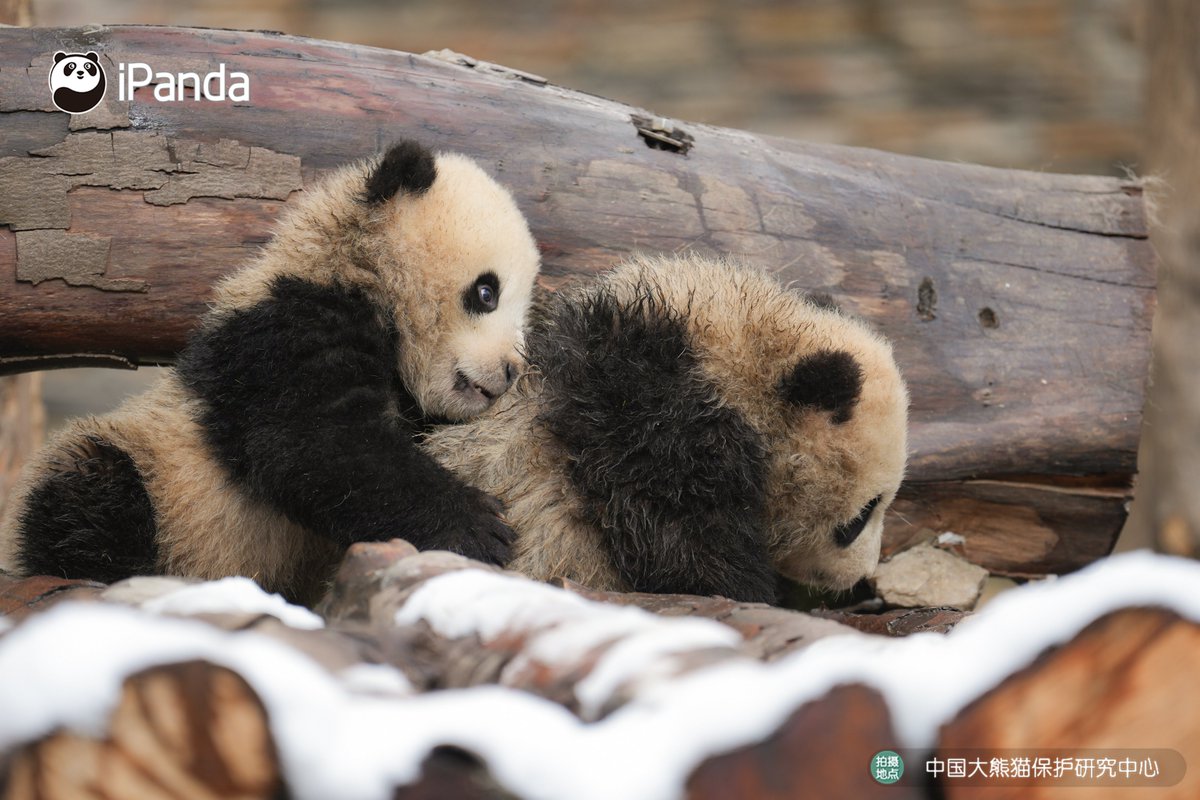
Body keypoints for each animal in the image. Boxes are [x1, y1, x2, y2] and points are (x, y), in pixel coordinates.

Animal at [0, 140, 540, 605]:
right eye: (487, 292)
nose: (511, 370)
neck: (353, 270)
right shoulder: (280, 334)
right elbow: (317, 442)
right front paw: (480, 526)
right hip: (153, 475)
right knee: (86, 493)